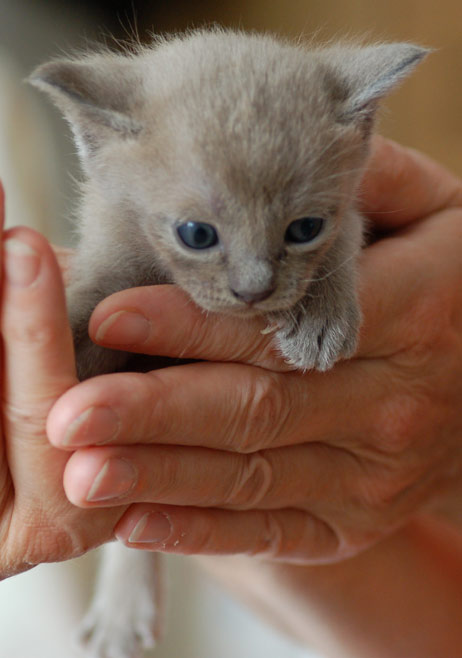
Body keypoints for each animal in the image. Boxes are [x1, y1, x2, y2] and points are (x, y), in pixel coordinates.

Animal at [31, 27, 427, 658]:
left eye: (304, 229)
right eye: (197, 234)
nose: (253, 289)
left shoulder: (353, 214)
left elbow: (349, 233)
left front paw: (323, 317)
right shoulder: (109, 260)